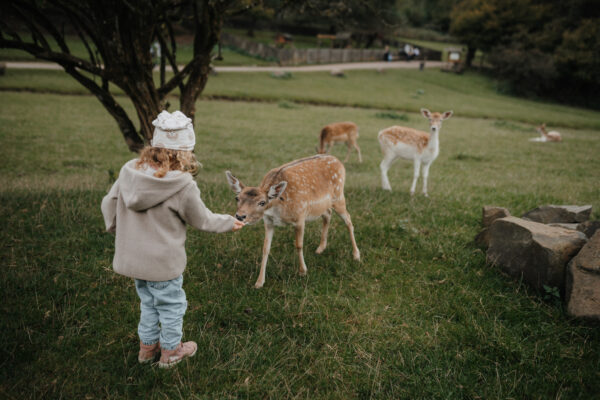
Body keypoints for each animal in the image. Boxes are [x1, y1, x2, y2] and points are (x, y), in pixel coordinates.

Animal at [224, 155, 356, 290]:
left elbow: (299, 245)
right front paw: (259, 282)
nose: (240, 216)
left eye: (262, 202)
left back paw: (356, 255)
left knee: (348, 220)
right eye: (237, 198)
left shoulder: (300, 216)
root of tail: (338, 161)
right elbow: (266, 248)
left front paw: (303, 271)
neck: (278, 208)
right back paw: (320, 248)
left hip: (339, 196)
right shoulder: (268, 221)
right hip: (324, 205)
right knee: (328, 214)